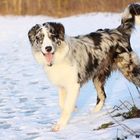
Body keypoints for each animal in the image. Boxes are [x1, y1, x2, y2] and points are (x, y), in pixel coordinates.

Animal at [27, 3, 140, 131]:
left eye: (52, 36)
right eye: (40, 37)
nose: (48, 48)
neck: (59, 56)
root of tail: (119, 31)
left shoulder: (73, 85)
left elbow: (66, 107)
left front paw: (60, 125)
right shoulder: (62, 85)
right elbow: (62, 104)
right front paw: (74, 109)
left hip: (129, 69)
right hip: (97, 77)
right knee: (102, 96)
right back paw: (93, 114)